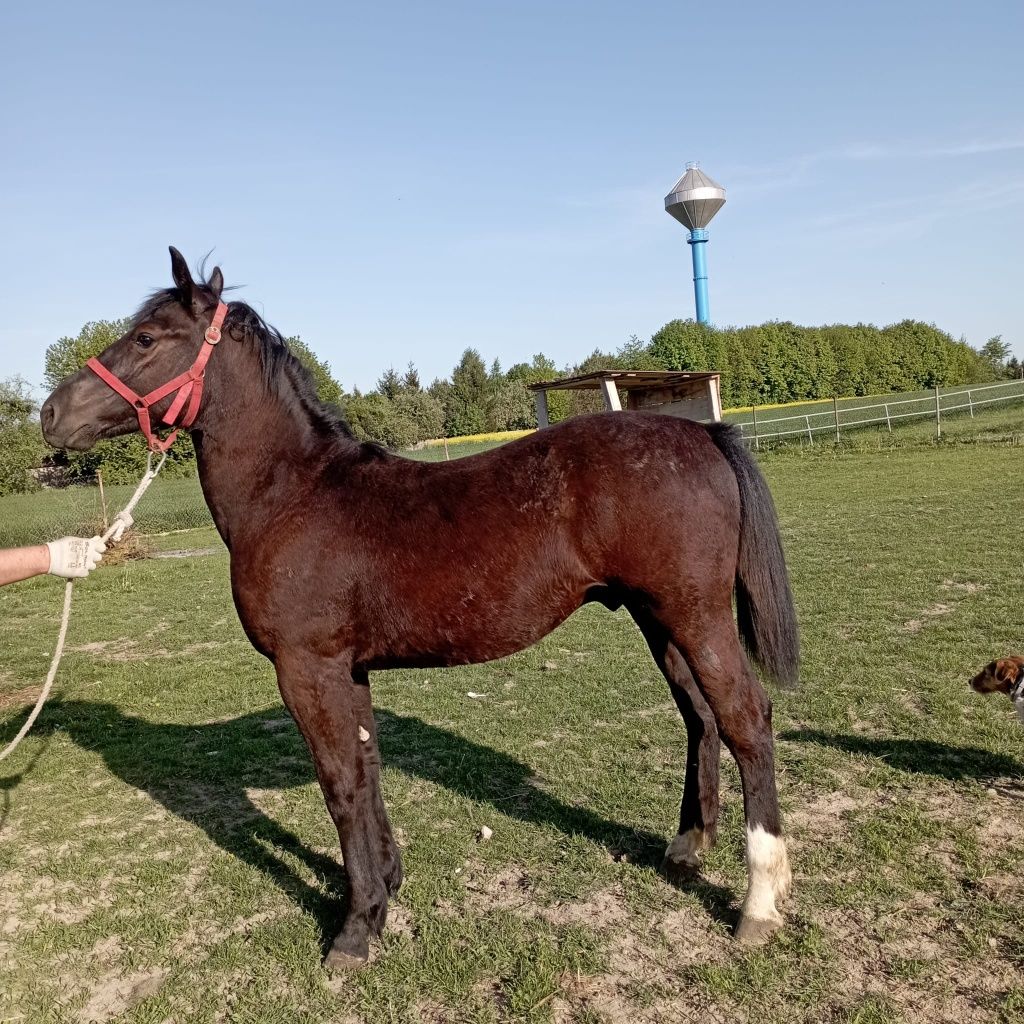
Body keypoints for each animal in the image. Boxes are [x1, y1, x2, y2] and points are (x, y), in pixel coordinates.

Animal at [41, 249, 798, 966]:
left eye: (146, 338)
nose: (50, 415)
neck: (292, 494)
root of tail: (703, 435)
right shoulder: (348, 669)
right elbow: (368, 769)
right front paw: (385, 890)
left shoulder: (307, 669)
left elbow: (341, 784)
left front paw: (353, 931)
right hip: (657, 618)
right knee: (700, 718)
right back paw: (687, 847)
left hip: (695, 616)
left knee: (745, 720)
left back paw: (758, 905)